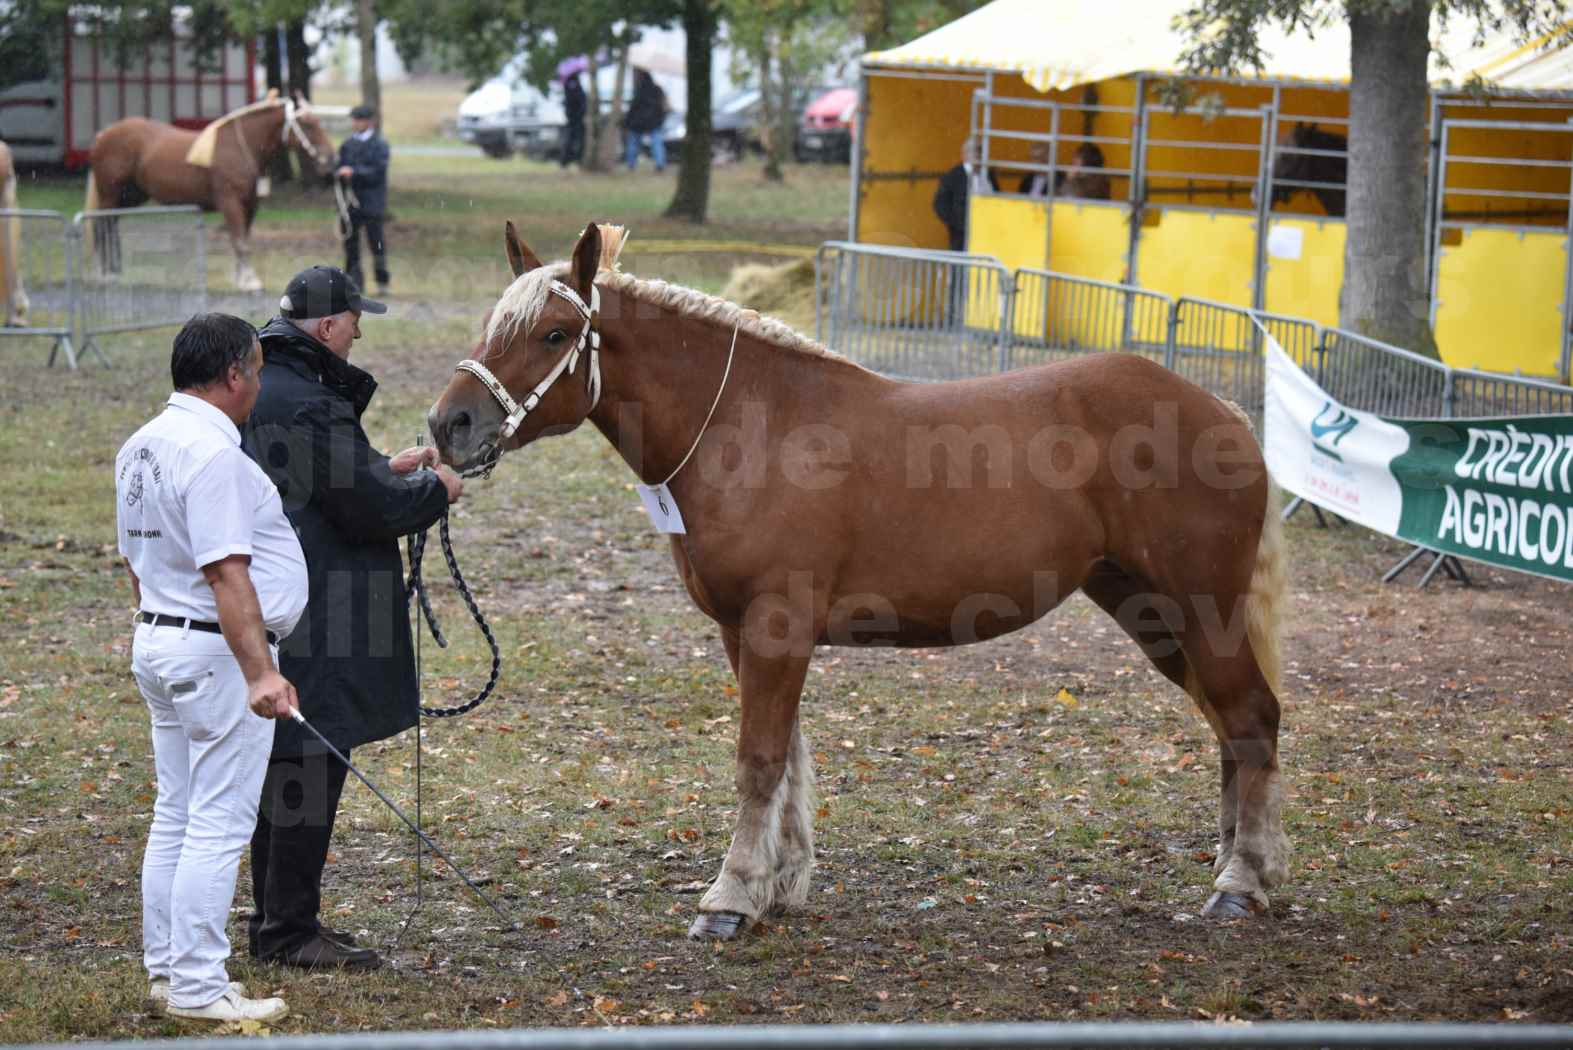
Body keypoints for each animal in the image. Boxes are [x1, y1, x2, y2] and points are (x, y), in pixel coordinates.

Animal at [85, 92, 335, 290]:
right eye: (307, 124)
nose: (330, 159)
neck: (241, 147)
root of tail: (103, 135)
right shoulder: (230, 202)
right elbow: (240, 241)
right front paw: (248, 281)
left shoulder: (250, 205)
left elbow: (243, 240)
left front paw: (241, 278)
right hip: (110, 194)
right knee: (103, 227)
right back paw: (105, 274)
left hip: (130, 196)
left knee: (110, 226)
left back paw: (114, 271)